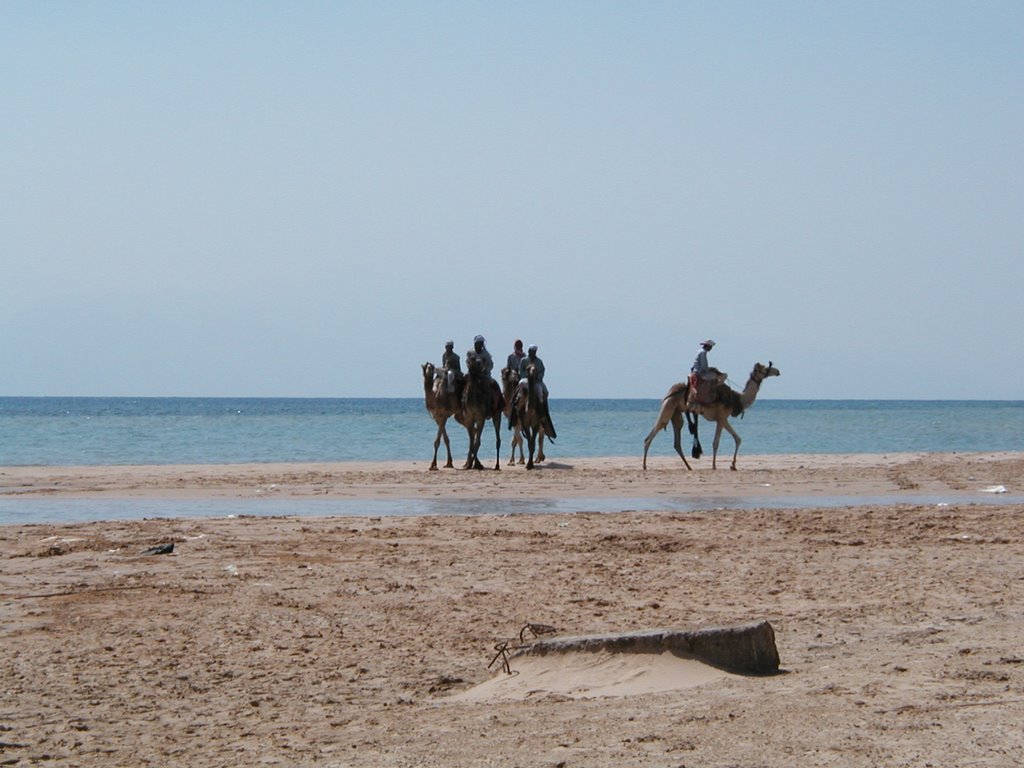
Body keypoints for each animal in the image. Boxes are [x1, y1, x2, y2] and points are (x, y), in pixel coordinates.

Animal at [643, 364, 778, 473]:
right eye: (765, 368)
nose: (777, 371)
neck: (737, 399)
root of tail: (669, 393)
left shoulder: (723, 419)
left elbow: (737, 439)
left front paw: (733, 465)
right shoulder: (722, 418)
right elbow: (716, 443)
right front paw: (714, 466)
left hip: (676, 413)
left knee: (677, 440)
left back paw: (689, 467)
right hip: (668, 407)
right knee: (652, 434)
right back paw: (644, 466)